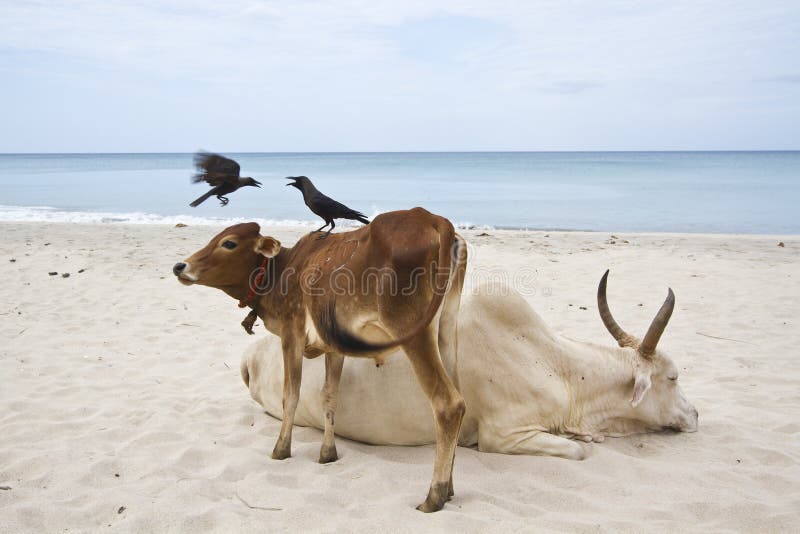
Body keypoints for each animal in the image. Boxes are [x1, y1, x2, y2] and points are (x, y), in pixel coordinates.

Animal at [172, 209, 466, 516]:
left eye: (228, 243)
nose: (180, 266)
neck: (283, 270)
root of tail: (432, 218)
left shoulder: (291, 334)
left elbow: (291, 395)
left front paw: (281, 449)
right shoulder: (334, 348)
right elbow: (330, 397)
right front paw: (327, 453)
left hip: (414, 334)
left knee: (448, 405)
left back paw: (434, 495)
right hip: (446, 332)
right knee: (460, 400)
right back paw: (450, 488)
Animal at [241, 272, 696, 460]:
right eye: (673, 377)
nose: (694, 414)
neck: (560, 368)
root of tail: (253, 353)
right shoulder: (505, 434)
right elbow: (578, 451)